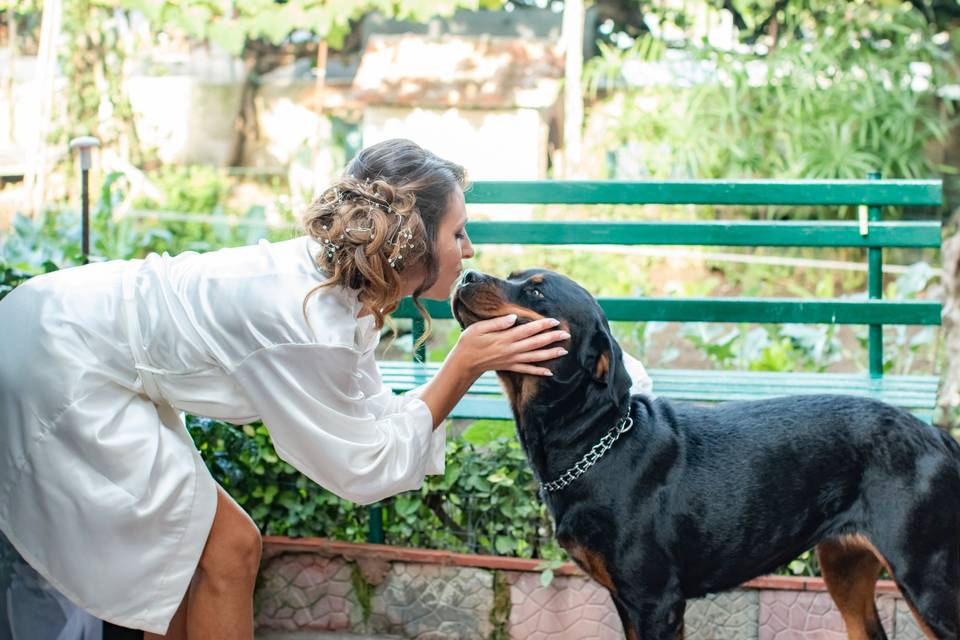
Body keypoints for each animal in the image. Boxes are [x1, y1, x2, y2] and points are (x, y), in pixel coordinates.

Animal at [452, 268, 960, 640]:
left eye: (536, 291)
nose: (467, 274)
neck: (595, 439)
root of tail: (937, 436)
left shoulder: (655, 601)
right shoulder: (627, 600)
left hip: (926, 575)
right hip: (844, 565)